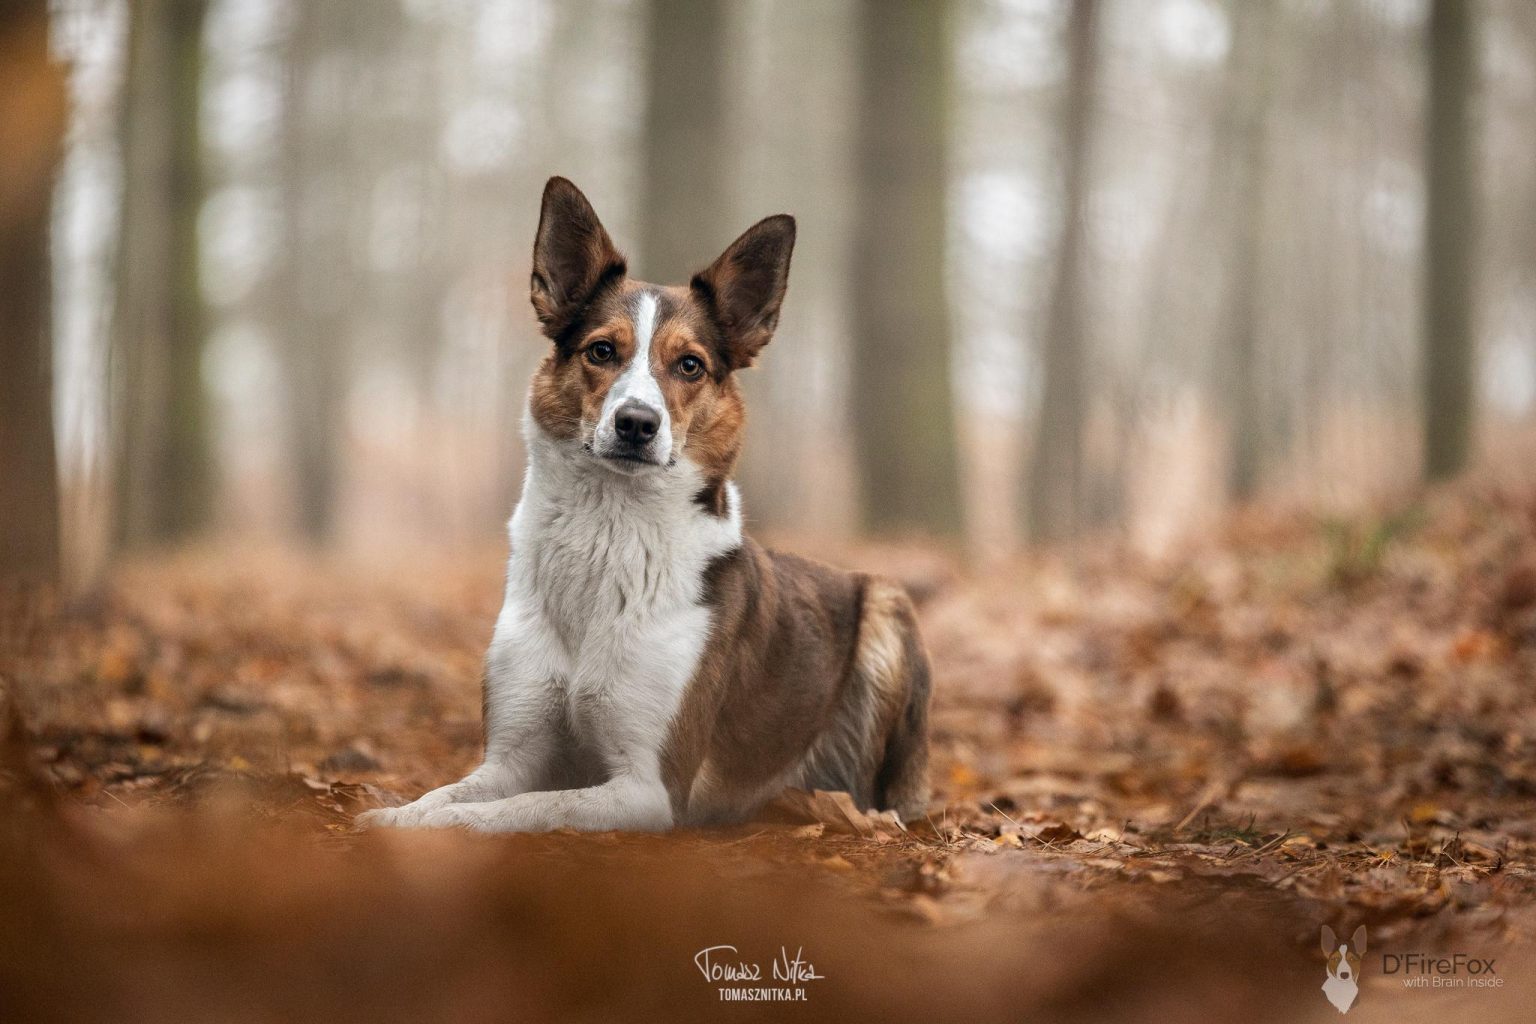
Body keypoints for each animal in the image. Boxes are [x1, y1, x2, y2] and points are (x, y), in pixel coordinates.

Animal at [359, 177, 931, 833]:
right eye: (602, 351)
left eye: (690, 365)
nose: (637, 423)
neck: (607, 530)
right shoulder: (511, 756)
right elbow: (454, 792)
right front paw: (398, 814)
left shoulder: (649, 789)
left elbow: (524, 808)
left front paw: (442, 828)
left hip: (888, 607)